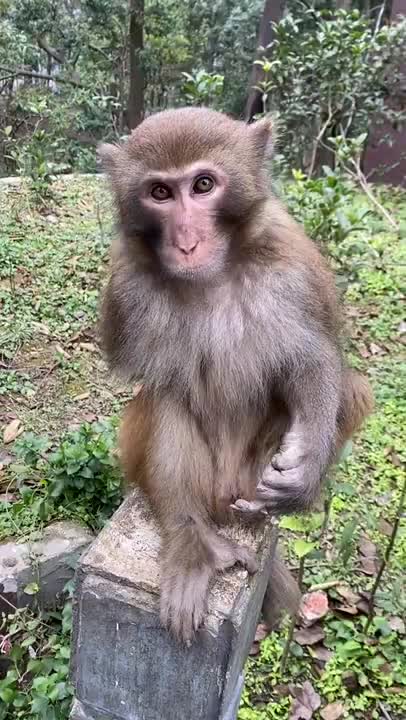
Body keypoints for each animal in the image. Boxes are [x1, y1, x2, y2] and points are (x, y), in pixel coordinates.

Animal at [98, 107, 373, 643]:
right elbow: (159, 381)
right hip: (200, 484)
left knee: (351, 390)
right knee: (164, 397)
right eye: (160, 193)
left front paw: (307, 465)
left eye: (203, 185)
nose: (186, 241)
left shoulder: (292, 263)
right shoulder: (126, 288)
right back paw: (193, 542)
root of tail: (228, 499)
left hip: (250, 480)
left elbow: (312, 358)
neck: (215, 273)